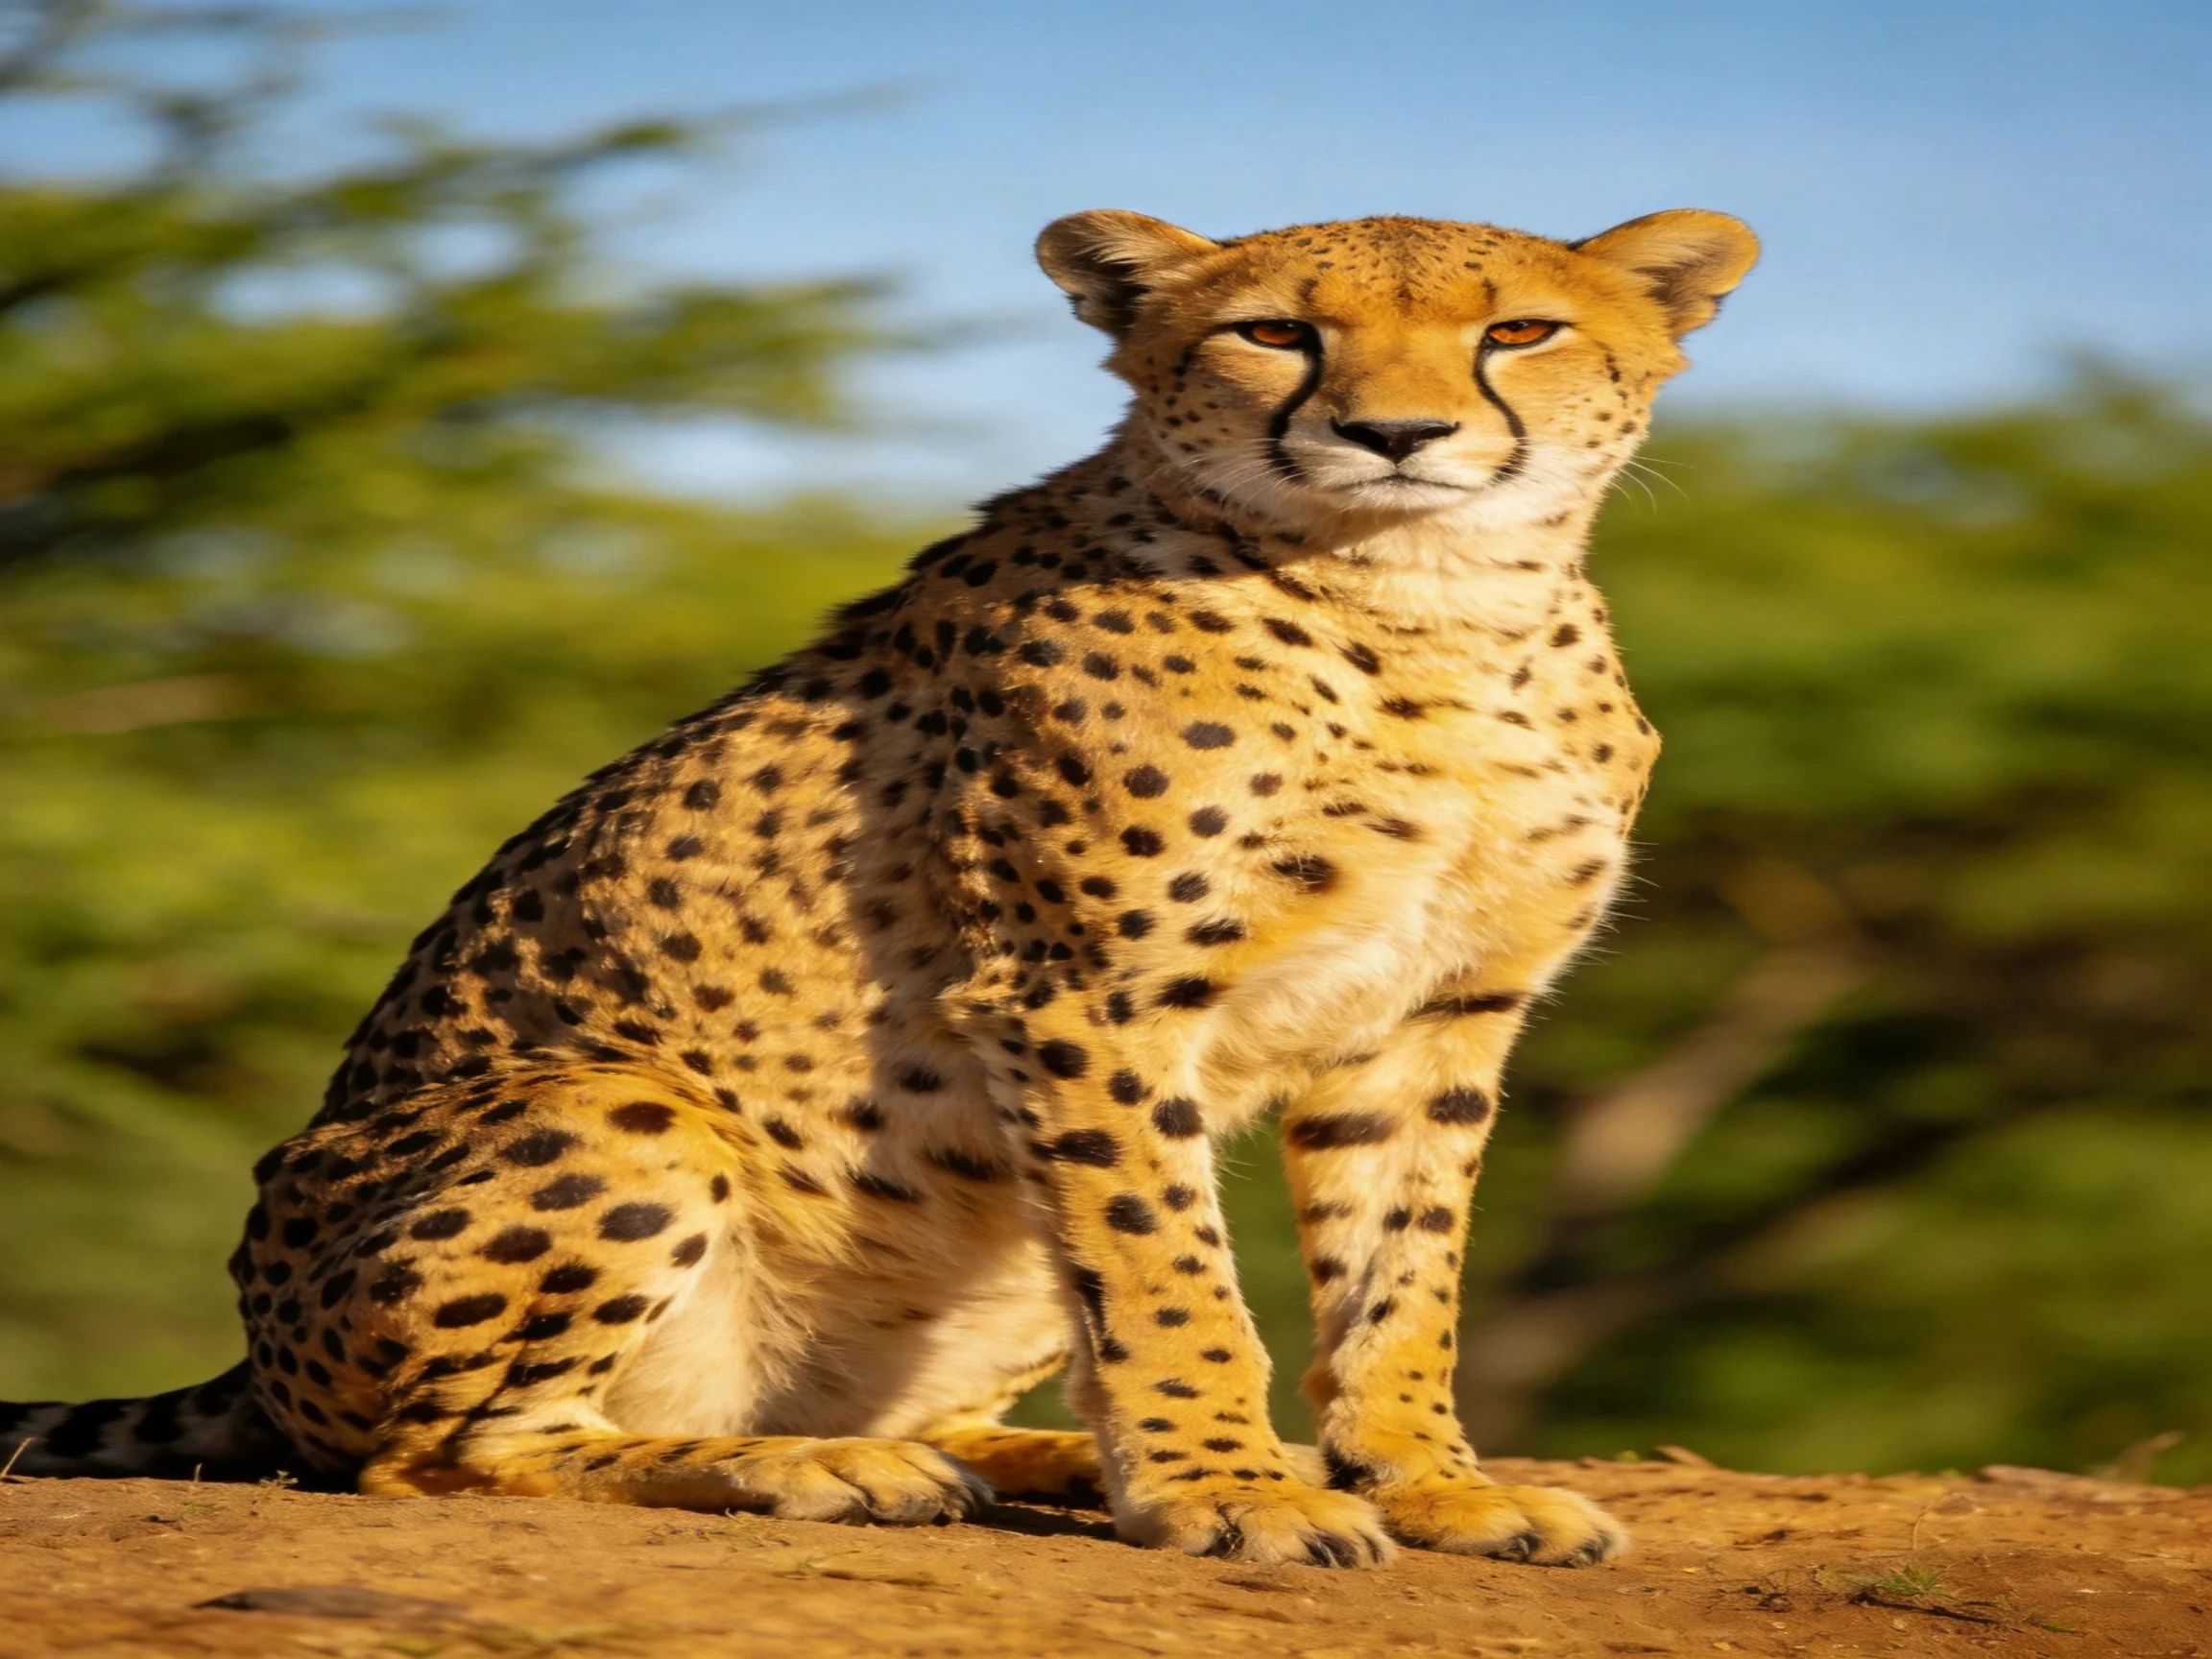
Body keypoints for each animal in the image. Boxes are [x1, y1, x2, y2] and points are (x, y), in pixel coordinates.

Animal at [1, 205, 1757, 1569]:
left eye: (1517, 330)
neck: (1432, 608)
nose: (1396, 435)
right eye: (1273, 334)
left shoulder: (1434, 1013)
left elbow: (1402, 1264)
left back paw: (1021, 1457)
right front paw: (1225, 1487)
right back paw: (816, 1466)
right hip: (609, 1107)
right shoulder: (1081, 993)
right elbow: (1168, 1270)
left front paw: (1425, 1482)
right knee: (432, 1454)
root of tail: (255, 1349)